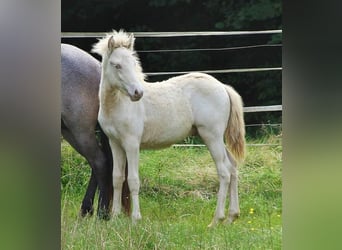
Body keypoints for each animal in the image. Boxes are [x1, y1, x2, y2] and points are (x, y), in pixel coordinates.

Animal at [61, 44, 131, 218]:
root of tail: (97, 66)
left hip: (80, 131)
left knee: (100, 162)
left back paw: (102, 213)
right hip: (70, 132)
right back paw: (86, 209)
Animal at [92, 30, 244, 228]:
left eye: (133, 63)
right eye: (116, 65)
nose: (137, 93)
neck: (118, 104)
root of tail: (223, 87)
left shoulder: (132, 143)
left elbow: (133, 180)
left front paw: (135, 219)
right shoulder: (115, 143)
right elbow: (117, 178)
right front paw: (116, 218)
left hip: (212, 136)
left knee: (224, 172)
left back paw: (216, 220)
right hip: (215, 138)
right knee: (232, 167)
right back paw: (231, 217)